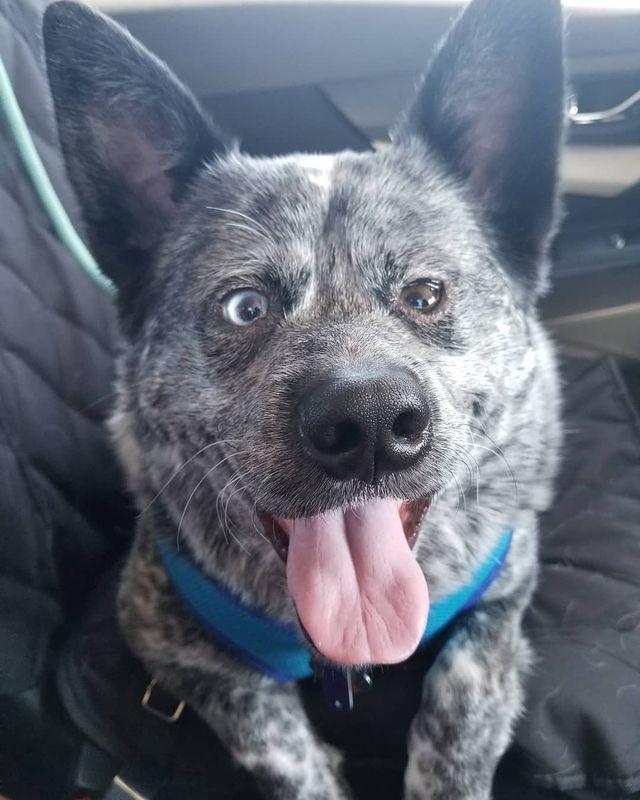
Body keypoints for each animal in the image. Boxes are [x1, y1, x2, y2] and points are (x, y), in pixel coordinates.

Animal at [44, 0, 565, 796]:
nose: (369, 422)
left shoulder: (505, 589)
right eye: (245, 307)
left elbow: (463, 699)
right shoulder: (159, 630)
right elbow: (275, 740)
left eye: (425, 293)